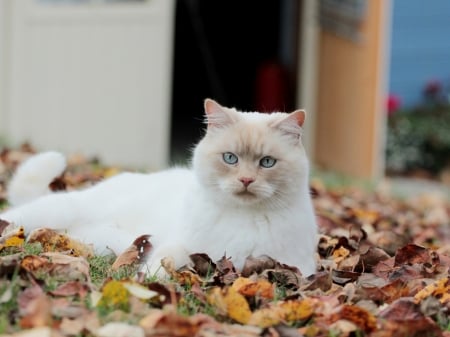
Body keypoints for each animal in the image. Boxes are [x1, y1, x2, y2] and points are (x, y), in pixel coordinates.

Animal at [0, 99, 318, 276]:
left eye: (267, 162)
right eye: (230, 158)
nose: (246, 181)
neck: (242, 218)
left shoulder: (295, 266)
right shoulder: (181, 246)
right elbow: (162, 265)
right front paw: (149, 283)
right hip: (54, 211)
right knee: (12, 217)